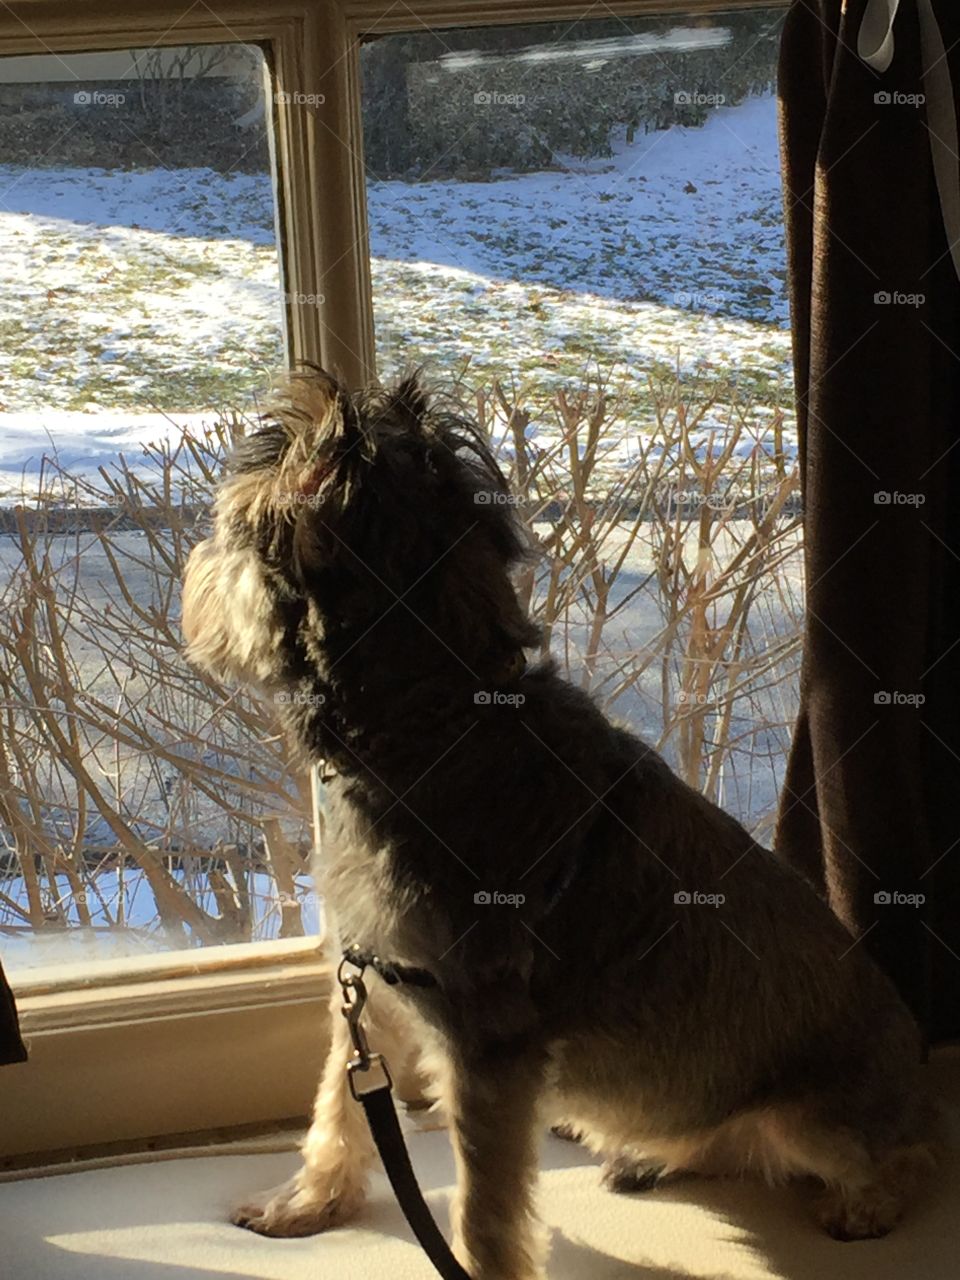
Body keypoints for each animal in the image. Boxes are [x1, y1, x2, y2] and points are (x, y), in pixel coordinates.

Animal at [181, 371, 942, 1280]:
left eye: (226, 529)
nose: (193, 567)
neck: (439, 722)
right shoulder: (374, 999)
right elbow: (338, 1107)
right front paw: (306, 1203)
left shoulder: (487, 1052)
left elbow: (484, 1211)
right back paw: (645, 1155)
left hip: (813, 1115)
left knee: (901, 1157)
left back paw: (865, 1202)